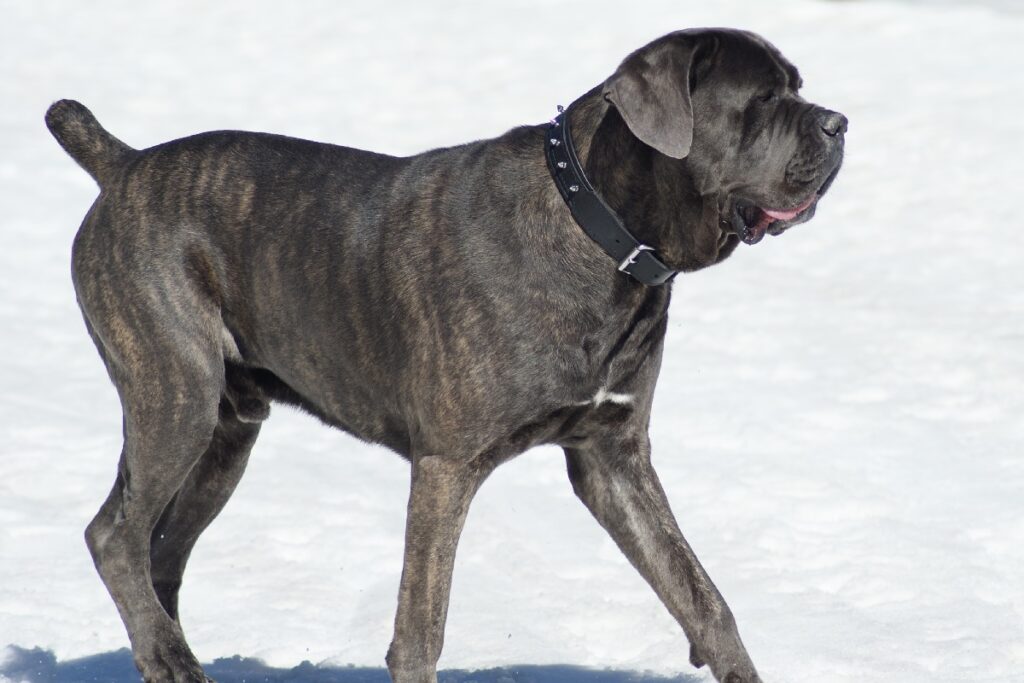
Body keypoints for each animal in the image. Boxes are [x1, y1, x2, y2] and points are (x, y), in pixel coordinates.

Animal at [48, 26, 843, 683]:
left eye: (798, 86)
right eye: (763, 100)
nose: (838, 122)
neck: (599, 228)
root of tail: (124, 166)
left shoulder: (612, 458)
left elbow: (701, 595)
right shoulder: (446, 466)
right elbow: (420, 628)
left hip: (227, 431)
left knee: (161, 553)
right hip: (176, 393)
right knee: (114, 536)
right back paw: (172, 655)